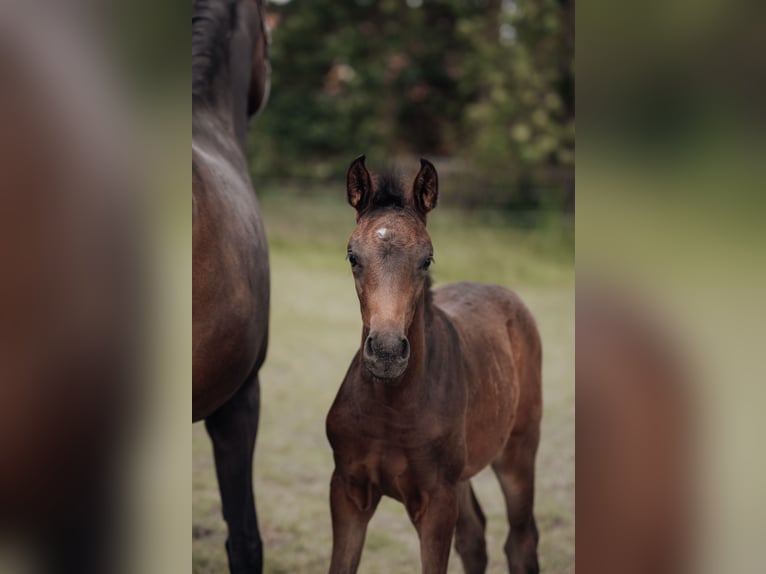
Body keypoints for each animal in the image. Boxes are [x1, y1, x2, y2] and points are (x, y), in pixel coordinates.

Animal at [326, 156, 543, 574]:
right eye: (352, 256)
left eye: (426, 259)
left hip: (518, 451)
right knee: (475, 537)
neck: (390, 409)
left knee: (521, 540)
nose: (388, 352)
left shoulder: (437, 502)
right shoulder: (347, 489)